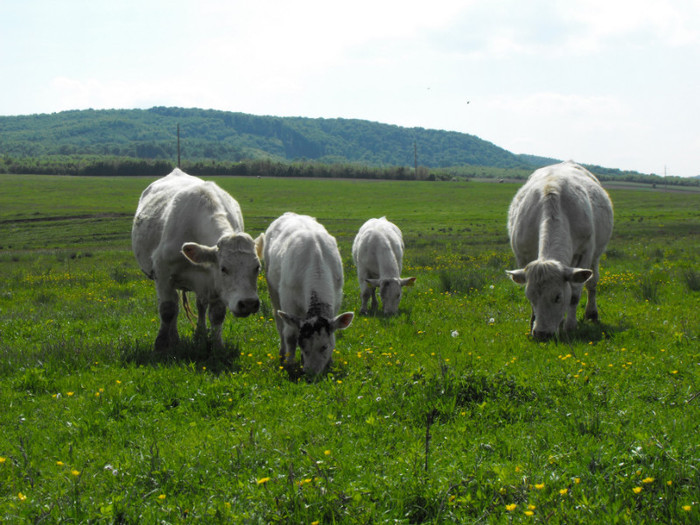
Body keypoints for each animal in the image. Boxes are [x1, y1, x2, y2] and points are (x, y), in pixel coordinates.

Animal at [256, 211, 356, 374]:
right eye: (302, 345)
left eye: (324, 346)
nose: (311, 373)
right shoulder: (288, 300)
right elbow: (290, 335)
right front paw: (289, 363)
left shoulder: (336, 298)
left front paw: (330, 362)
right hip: (272, 287)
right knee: (279, 323)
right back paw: (282, 353)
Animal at [506, 161, 616, 340]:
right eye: (530, 296)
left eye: (557, 297)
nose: (541, 334)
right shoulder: (523, 256)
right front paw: (532, 322)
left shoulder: (584, 253)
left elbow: (575, 293)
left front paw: (570, 325)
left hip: (596, 255)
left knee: (592, 283)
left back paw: (591, 313)